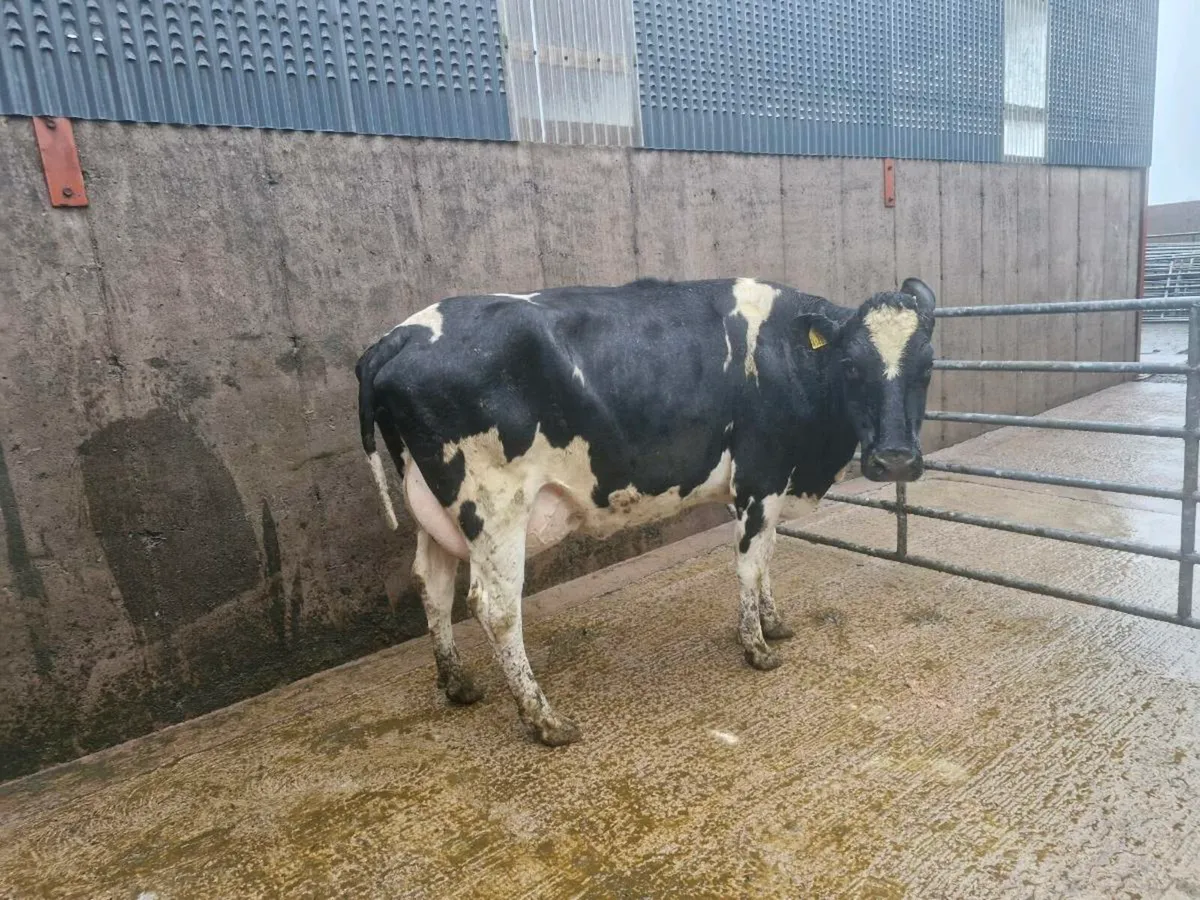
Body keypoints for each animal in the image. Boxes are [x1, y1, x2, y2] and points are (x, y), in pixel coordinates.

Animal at [355, 276, 936, 746]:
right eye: (851, 366)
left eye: (927, 368)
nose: (895, 458)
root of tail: (401, 334)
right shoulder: (759, 476)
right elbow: (750, 564)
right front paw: (756, 647)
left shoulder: (769, 487)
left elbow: (769, 556)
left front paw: (774, 624)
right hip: (494, 504)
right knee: (494, 606)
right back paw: (544, 720)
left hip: (432, 503)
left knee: (432, 583)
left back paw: (457, 684)